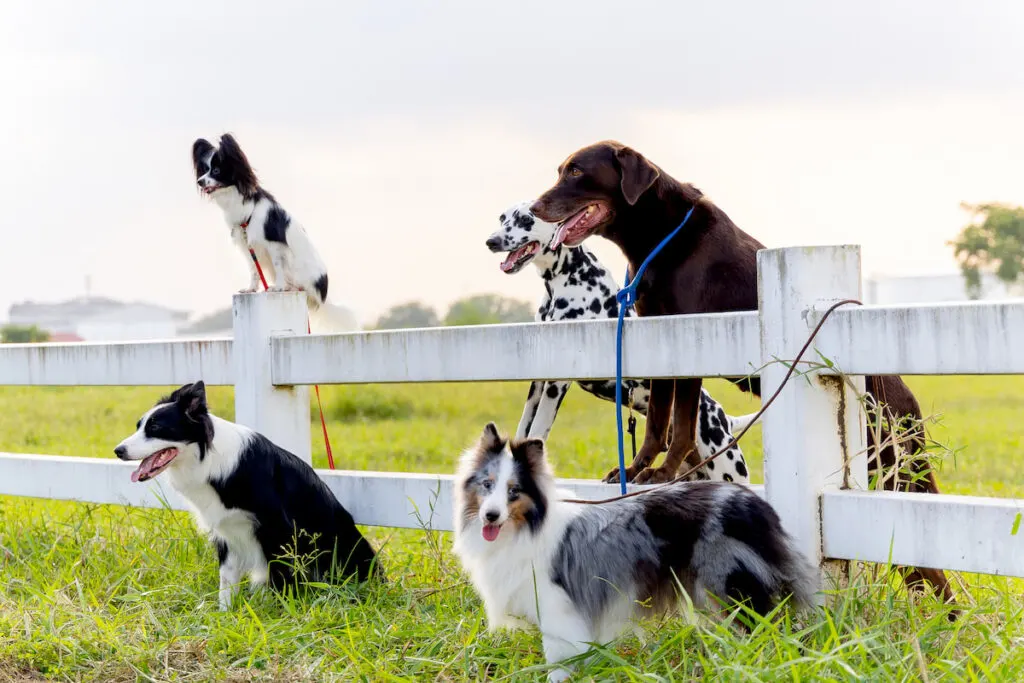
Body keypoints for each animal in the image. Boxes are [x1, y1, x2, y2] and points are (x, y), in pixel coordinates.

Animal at [115, 378, 380, 610]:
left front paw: (279, 612)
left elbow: (279, 576)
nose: (118, 450)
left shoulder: (277, 529)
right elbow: (227, 581)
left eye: (155, 427)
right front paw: (225, 615)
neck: (208, 461)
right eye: (138, 426)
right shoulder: (226, 533)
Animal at [193, 133, 358, 331]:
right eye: (205, 170)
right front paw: (251, 289)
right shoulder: (248, 246)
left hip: (299, 269)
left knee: (298, 284)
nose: (199, 181)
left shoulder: (274, 245)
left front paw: (278, 287)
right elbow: (254, 270)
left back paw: (289, 287)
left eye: (216, 171)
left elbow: (279, 266)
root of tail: (323, 295)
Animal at [452, 423, 819, 679]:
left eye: (514, 491)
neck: (526, 526)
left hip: (731, 583)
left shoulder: (557, 607)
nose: (490, 516)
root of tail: (756, 504)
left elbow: (559, 657)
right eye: (487, 485)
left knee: (768, 626)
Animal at [483, 201, 757, 485]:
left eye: (526, 219)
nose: (491, 241)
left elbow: (539, 429)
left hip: (729, 471)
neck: (567, 278)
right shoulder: (538, 383)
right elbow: (524, 427)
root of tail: (724, 419)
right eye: (502, 218)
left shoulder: (556, 384)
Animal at [532, 139, 954, 602]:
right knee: (921, 571)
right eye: (559, 170)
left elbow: (680, 427)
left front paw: (665, 473)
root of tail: (910, 404)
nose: (534, 207)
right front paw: (636, 471)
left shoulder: (689, 341)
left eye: (576, 172)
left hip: (899, 467)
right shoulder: (657, 340)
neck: (655, 236)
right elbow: (657, 424)